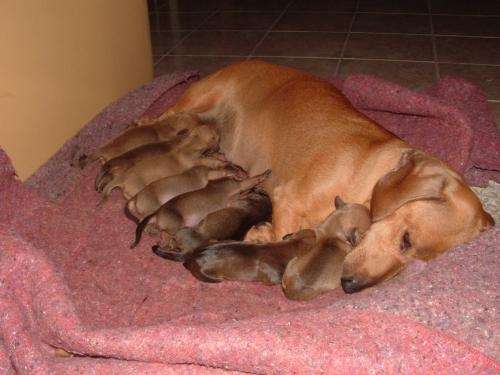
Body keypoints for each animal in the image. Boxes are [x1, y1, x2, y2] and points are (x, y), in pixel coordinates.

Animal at [129, 171, 270, 248]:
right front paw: (263, 175)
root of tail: (157, 212)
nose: (245, 172)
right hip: (176, 224)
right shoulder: (238, 186)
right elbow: (251, 181)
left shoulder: (234, 197)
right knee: (165, 233)